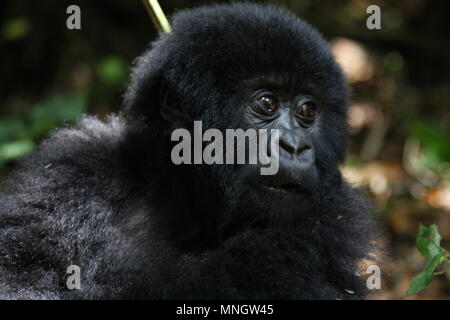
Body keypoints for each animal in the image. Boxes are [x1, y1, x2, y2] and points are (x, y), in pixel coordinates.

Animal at [0, 1, 372, 300]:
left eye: (308, 110)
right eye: (267, 103)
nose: (296, 146)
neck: (180, 196)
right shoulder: (72, 167)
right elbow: (20, 281)